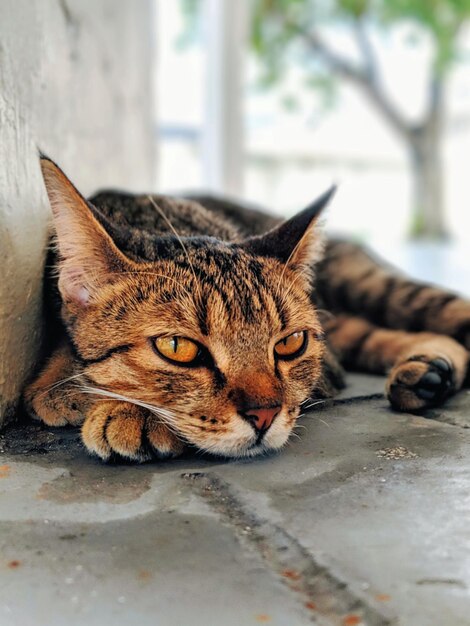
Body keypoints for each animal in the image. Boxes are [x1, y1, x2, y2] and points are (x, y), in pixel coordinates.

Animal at [23, 154, 470, 460]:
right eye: (177, 348)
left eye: (290, 343)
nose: (264, 415)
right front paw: (67, 387)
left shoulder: (325, 368)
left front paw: (130, 412)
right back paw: (429, 370)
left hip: (373, 287)